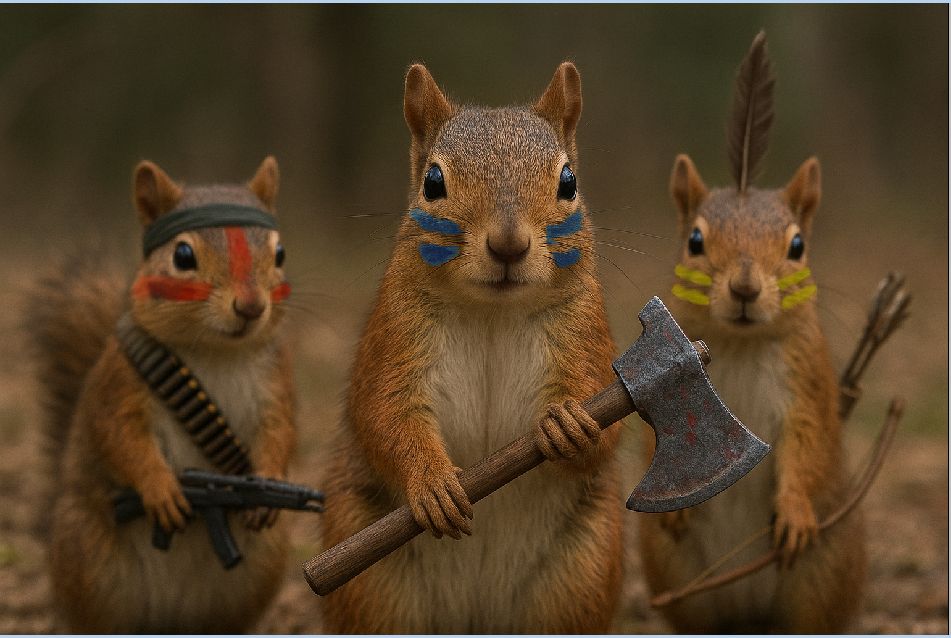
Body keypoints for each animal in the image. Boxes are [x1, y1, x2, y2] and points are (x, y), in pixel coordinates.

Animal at [25, 157, 297, 633]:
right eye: (182, 256)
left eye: (279, 253)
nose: (250, 307)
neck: (215, 350)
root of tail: (170, 617)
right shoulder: (119, 382)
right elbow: (120, 435)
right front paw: (161, 489)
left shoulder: (276, 381)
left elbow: (280, 432)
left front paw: (269, 481)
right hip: (86, 558)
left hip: (259, 568)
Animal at [319, 62, 624, 633]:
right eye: (432, 182)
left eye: (568, 181)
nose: (508, 246)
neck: (491, 313)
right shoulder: (395, 337)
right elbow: (384, 412)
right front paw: (434, 483)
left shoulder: (584, 331)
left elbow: (604, 415)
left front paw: (570, 423)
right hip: (377, 589)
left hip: (580, 571)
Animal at [638, 33, 866, 633]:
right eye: (694, 241)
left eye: (797, 246)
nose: (744, 288)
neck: (736, 346)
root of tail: (748, 612)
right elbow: (651, 437)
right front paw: (679, 510)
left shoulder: (808, 383)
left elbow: (808, 444)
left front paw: (795, 513)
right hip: (677, 577)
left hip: (824, 574)